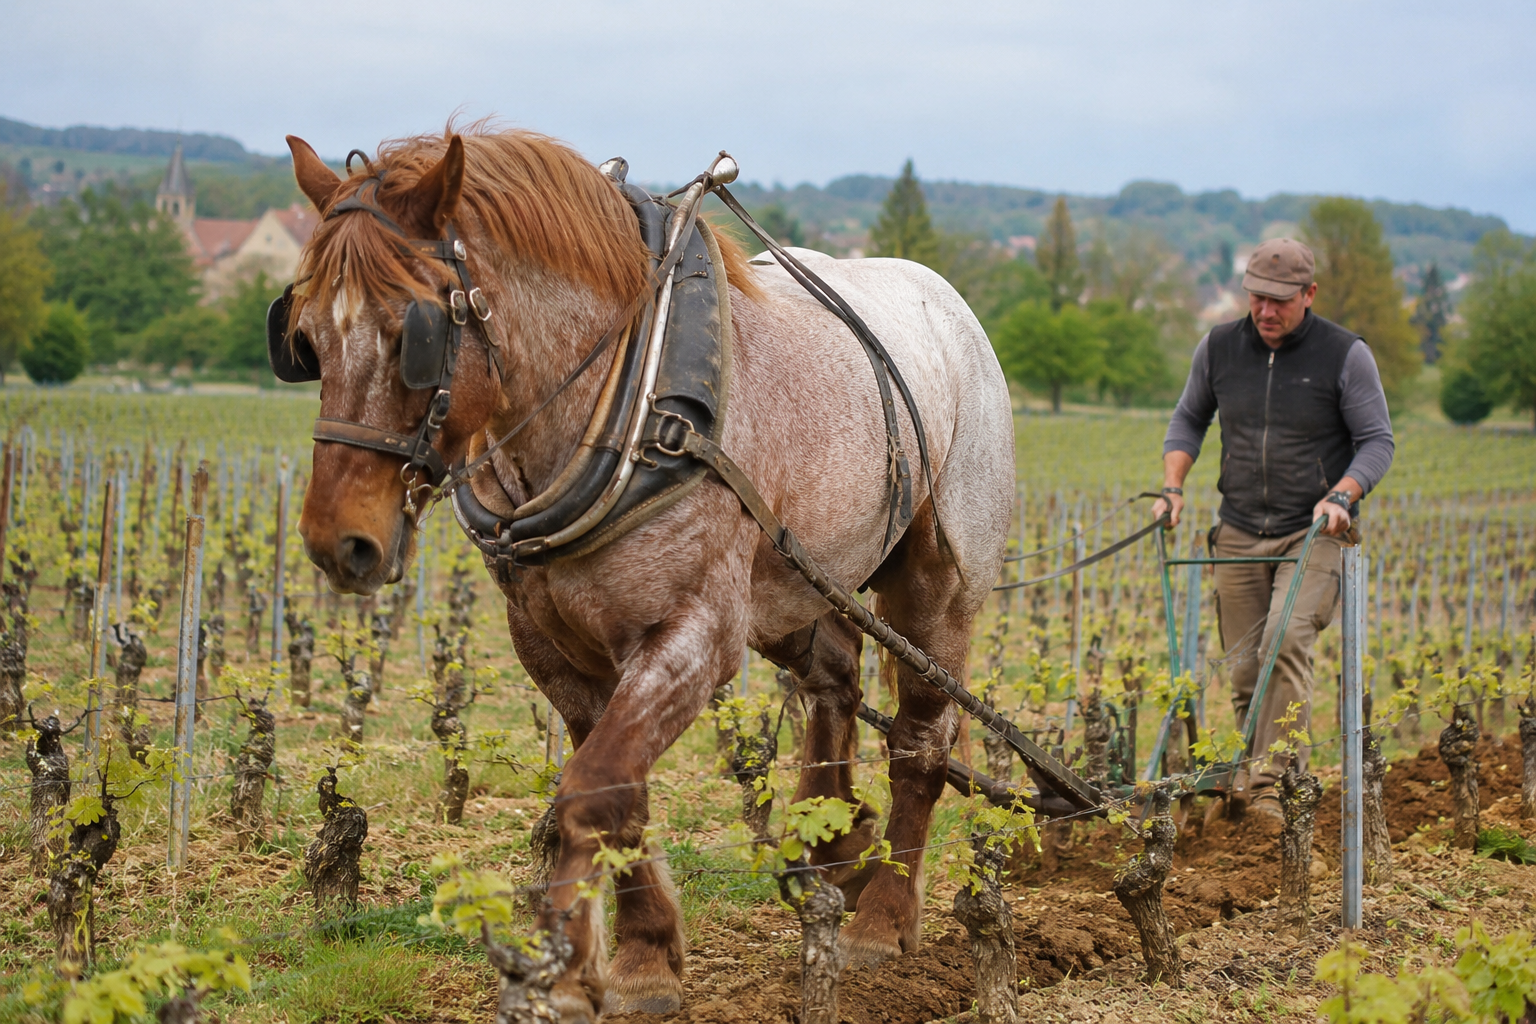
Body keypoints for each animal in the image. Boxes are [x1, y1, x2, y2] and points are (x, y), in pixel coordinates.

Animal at [285, 126, 1015, 1022]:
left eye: (409, 335)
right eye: (305, 339)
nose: (338, 543)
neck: (618, 401)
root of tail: (948, 304)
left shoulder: (693, 634)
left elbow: (594, 786)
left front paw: (563, 972)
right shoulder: (552, 648)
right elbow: (615, 792)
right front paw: (643, 956)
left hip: (938, 585)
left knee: (921, 739)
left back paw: (883, 915)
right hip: (797, 582)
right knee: (834, 683)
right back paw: (833, 835)